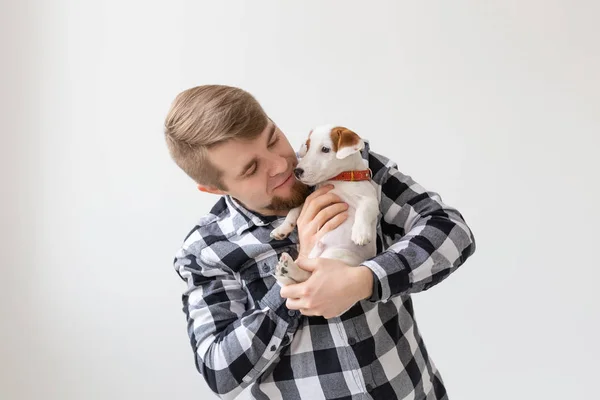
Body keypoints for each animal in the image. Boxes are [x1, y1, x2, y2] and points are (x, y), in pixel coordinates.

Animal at [272, 125, 380, 288]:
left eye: (325, 149)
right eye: (308, 146)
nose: (297, 171)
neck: (339, 180)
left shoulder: (370, 200)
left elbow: (363, 211)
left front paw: (360, 233)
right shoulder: (309, 199)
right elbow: (293, 211)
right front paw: (282, 229)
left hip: (338, 255)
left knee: (308, 276)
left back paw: (288, 269)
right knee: (306, 276)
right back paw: (287, 268)